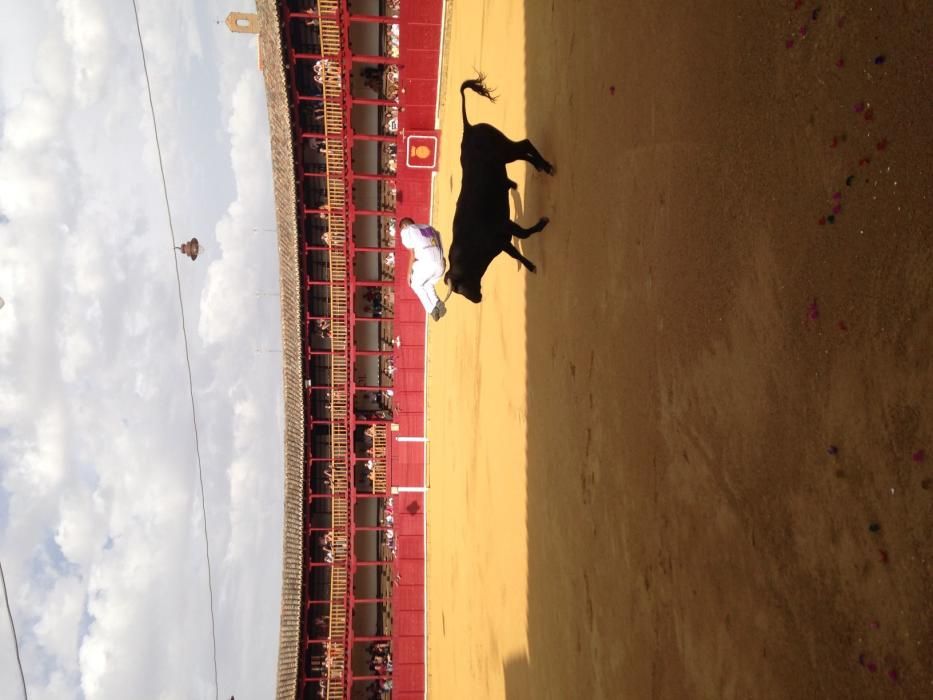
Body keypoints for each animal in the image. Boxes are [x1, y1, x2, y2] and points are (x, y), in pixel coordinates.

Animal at [442, 75, 556, 302]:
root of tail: (468, 129)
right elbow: (515, 251)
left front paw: (543, 222)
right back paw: (540, 167)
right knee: (523, 152)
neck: (469, 247)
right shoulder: (502, 239)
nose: (477, 299)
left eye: (460, 287)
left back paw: (546, 166)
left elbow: (524, 234)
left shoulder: (504, 226)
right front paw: (531, 267)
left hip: (505, 151)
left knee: (525, 144)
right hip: (505, 155)